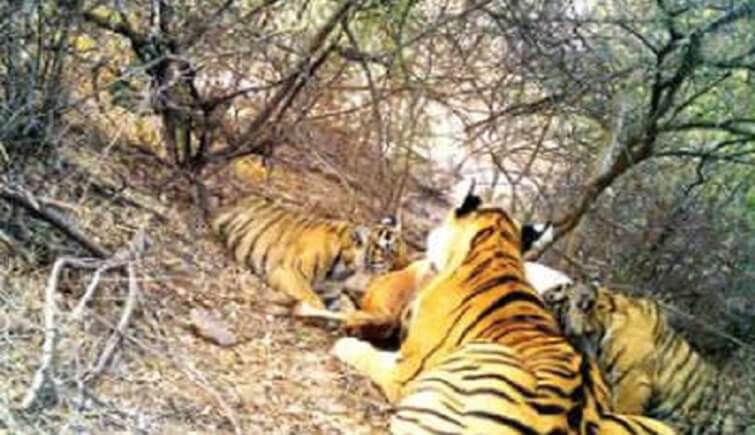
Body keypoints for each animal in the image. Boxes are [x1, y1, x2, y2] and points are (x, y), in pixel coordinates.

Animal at [213, 194, 410, 314]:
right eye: (389, 251)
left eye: (405, 251)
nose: (406, 267)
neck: (345, 270)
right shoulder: (288, 272)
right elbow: (312, 298)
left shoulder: (331, 293)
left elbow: (346, 308)